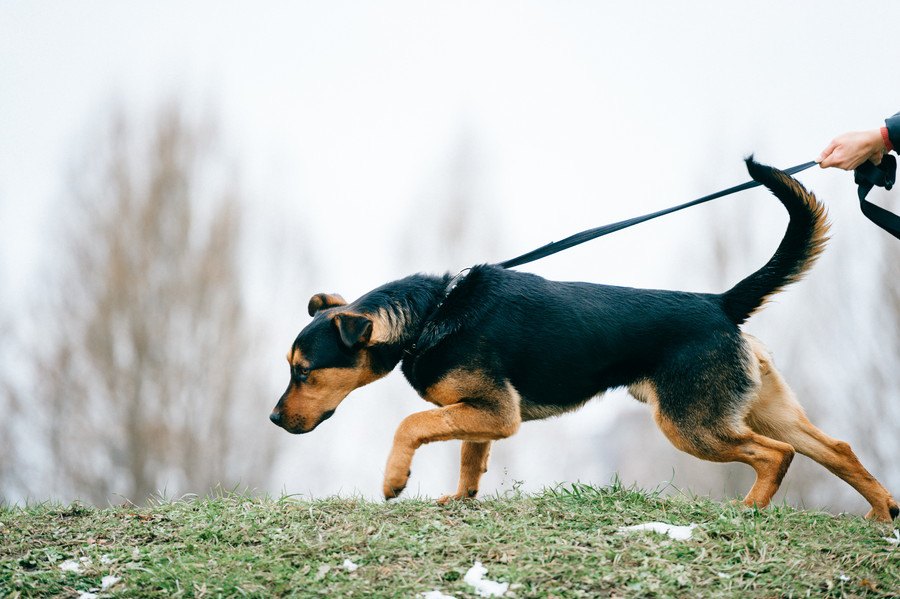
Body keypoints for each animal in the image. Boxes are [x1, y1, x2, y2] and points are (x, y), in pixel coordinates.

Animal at [270, 158, 896, 520]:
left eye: (304, 371)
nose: (275, 420)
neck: (428, 316)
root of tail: (720, 303)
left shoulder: (494, 410)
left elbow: (411, 425)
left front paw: (395, 480)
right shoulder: (483, 414)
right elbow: (469, 456)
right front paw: (462, 499)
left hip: (692, 423)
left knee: (777, 455)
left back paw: (751, 511)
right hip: (761, 408)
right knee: (834, 449)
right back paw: (880, 512)